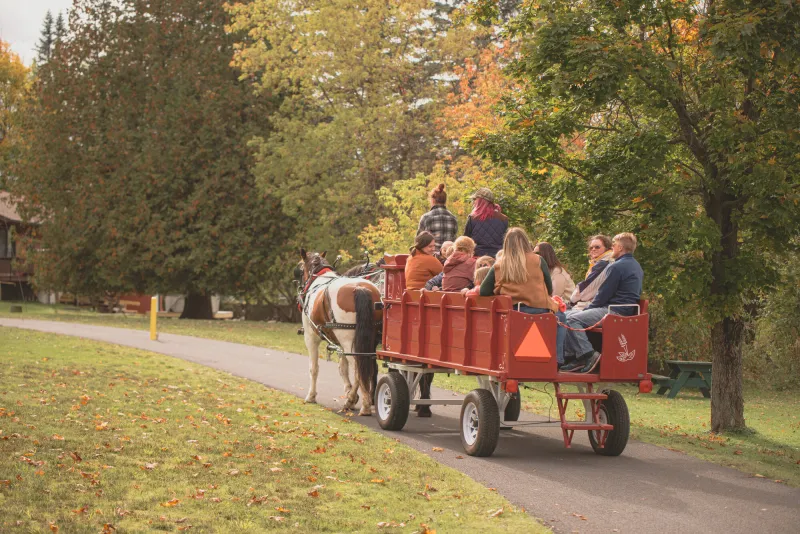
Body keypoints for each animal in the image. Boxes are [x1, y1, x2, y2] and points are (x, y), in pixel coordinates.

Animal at [296, 249, 382, 416]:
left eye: (301, 269)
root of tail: (359, 288)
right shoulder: (340, 343)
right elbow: (342, 368)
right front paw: (349, 391)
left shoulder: (311, 337)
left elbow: (314, 368)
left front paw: (311, 396)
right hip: (369, 339)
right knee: (366, 366)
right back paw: (359, 399)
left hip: (348, 339)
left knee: (357, 366)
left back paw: (362, 405)